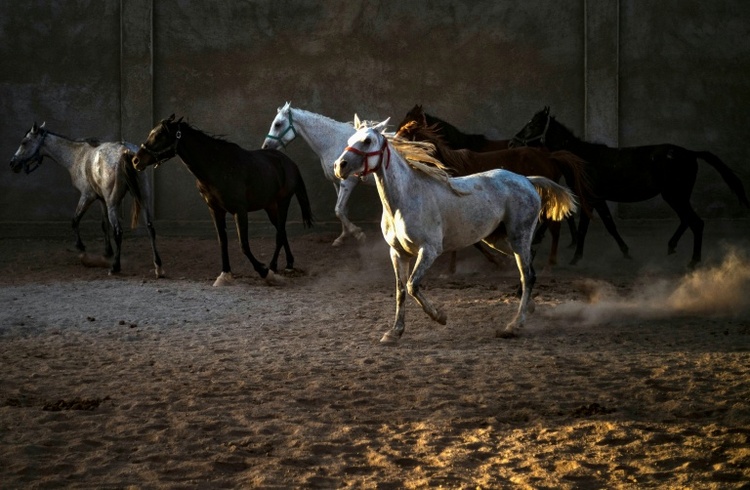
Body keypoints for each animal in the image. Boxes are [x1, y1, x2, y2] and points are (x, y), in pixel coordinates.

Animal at [9, 122, 164, 278]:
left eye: (24, 142)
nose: (13, 163)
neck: (78, 156)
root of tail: (126, 152)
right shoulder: (102, 200)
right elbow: (104, 225)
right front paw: (107, 252)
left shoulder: (87, 196)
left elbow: (75, 220)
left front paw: (81, 248)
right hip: (143, 199)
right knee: (150, 228)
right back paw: (158, 267)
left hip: (113, 204)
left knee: (118, 232)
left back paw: (115, 267)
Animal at [132, 114, 313, 286]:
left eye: (159, 135)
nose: (136, 160)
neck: (217, 166)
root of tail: (289, 162)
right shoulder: (215, 210)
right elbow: (222, 241)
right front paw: (225, 274)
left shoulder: (240, 211)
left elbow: (244, 245)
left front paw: (264, 272)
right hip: (270, 207)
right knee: (281, 231)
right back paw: (287, 264)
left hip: (283, 202)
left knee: (280, 232)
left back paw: (273, 267)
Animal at [262, 102, 371, 246]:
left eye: (278, 124)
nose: (265, 146)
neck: (335, 143)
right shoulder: (337, 182)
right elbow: (342, 210)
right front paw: (342, 237)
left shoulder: (348, 182)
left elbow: (338, 210)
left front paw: (358, 234)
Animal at [396, 121, 590, 267]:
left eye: (403, 136)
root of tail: (549, 156)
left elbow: (475, 242)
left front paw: (497, 260)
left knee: (554, 227)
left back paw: (550, 262)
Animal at [511, 107, 750, 268]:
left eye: (533, 124)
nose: (513, 142)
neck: (581, 159)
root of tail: (691, 153)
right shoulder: (596, 199)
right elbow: (603, 225)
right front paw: (621, 252)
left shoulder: (592, 198)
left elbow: (593, 226)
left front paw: (577, 258)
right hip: (677, 196)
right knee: (686, 220)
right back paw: (672, 246)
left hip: (675, 196)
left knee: (696, 223)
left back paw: (693, 261)